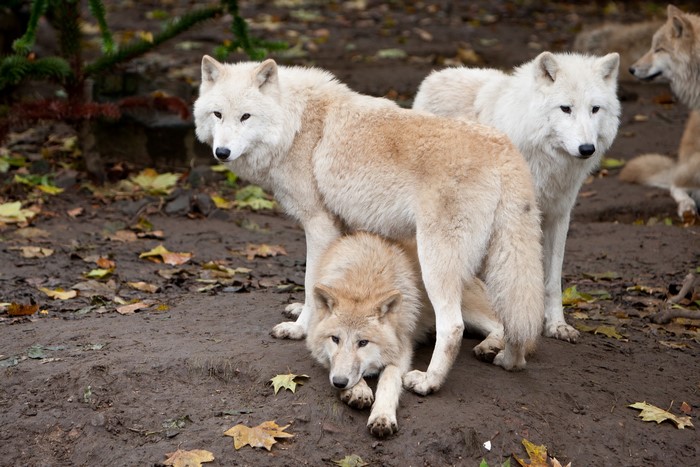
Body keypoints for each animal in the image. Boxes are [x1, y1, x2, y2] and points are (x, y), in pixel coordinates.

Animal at [193, 56, 544, 395]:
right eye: (218, 114)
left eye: (246, 117)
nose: (221, 152)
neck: (296, 126)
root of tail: (503, 149)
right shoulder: (346, 228)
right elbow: (330, 287)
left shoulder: (319, 225)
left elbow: (310, 281)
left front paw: (300, 328)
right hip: (496, 262)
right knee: (510, 318)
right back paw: (506, 356)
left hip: (437, 262)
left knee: (455, 325)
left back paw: (429, 381)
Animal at [413, 51, 621, 343]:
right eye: (565, 108)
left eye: (595, 109)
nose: (586, 148)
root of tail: (437, 74)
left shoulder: (559, 215)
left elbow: (552, 280)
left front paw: (556, 325)